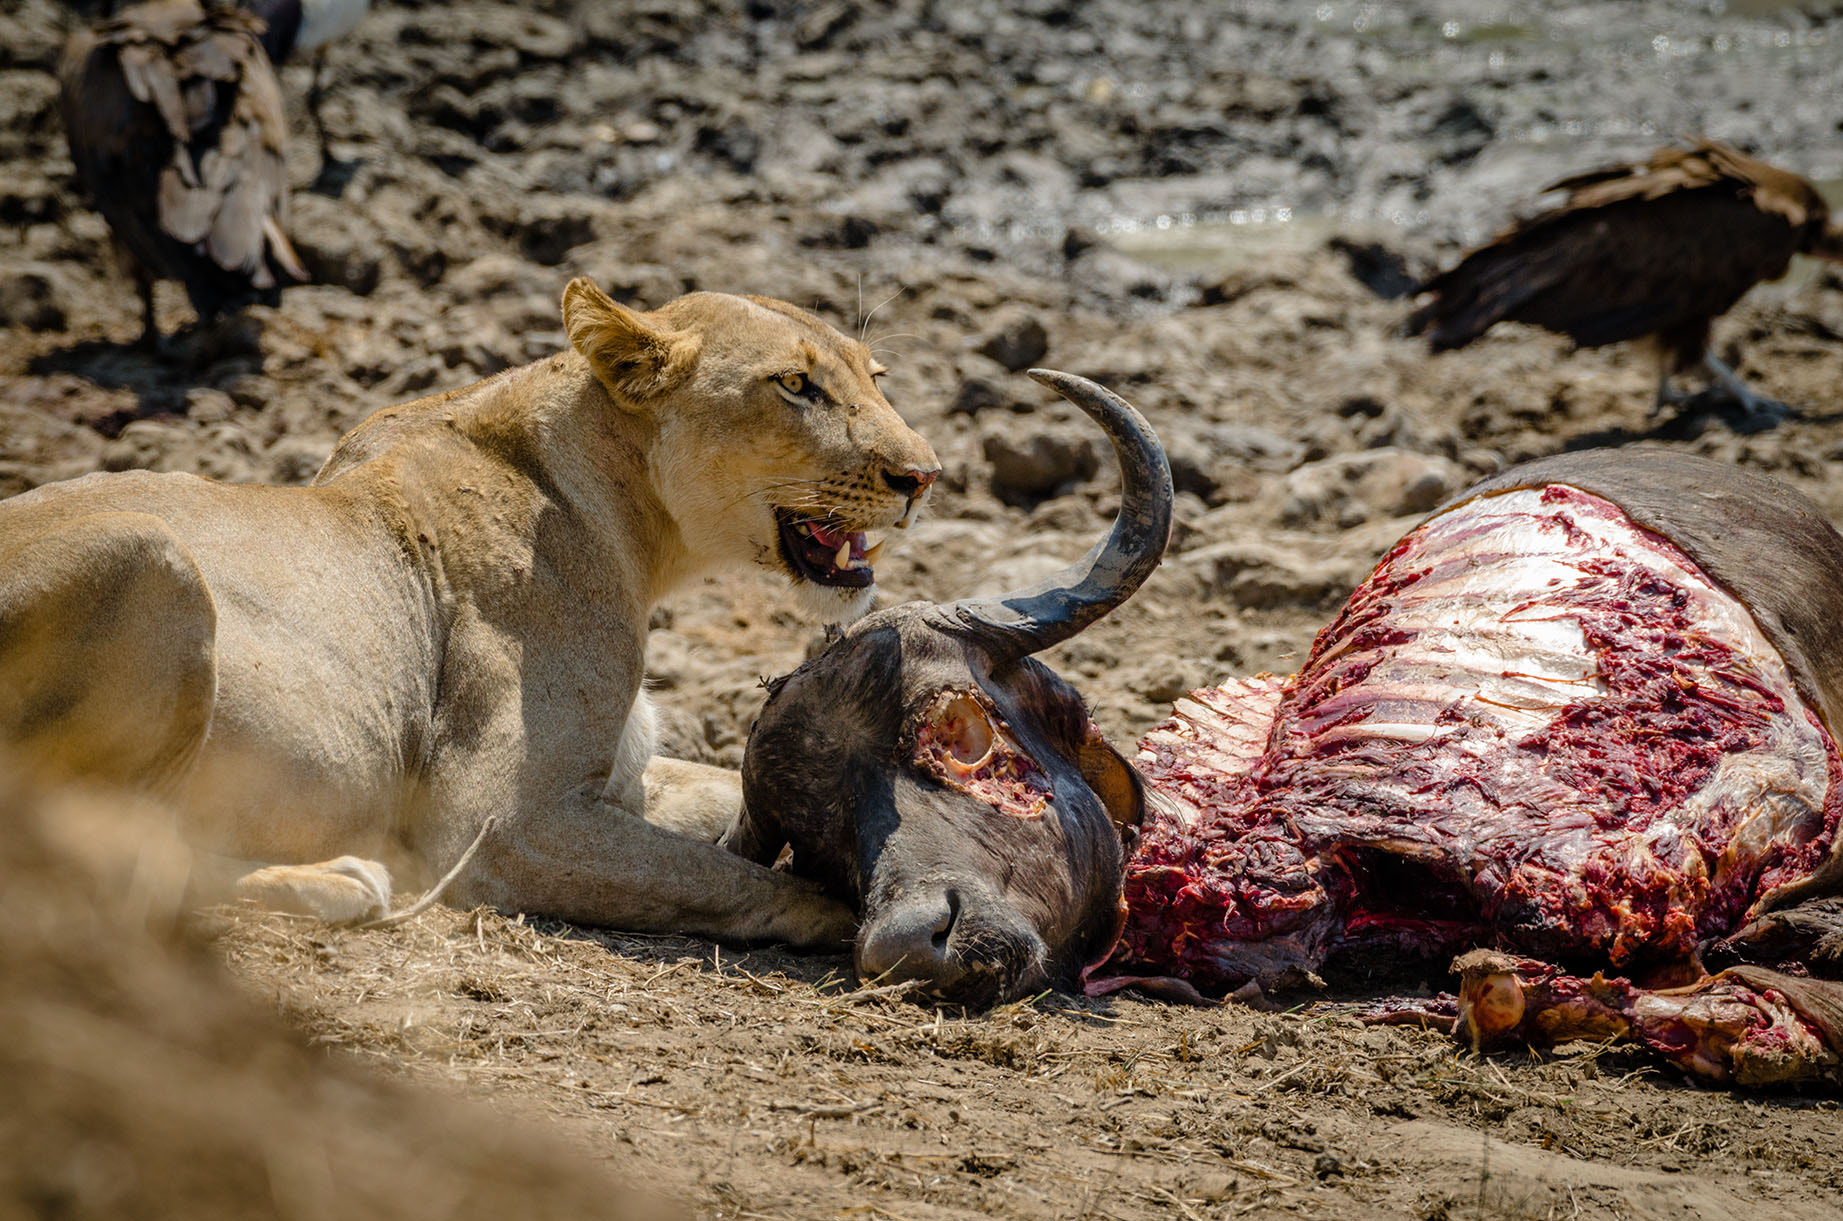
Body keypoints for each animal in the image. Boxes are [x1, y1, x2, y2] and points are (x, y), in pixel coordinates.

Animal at [0, 278, 939, 946]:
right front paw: (849, 907)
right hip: (149, 552)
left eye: (875, 378)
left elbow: (709, 798)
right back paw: (340, 880)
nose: (924, 475)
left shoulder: (621, 779)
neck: (641, 531)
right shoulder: (500, 824)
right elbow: (725, 879)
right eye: (795, 385)